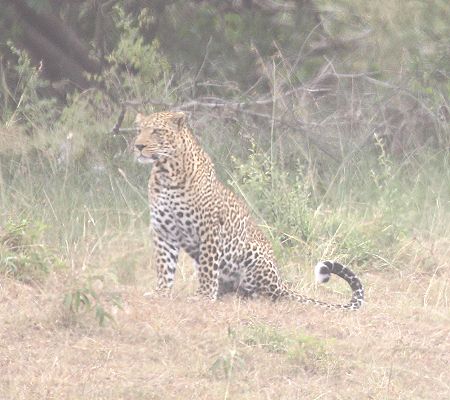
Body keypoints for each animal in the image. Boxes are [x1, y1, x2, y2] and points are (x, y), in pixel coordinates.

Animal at [132, 111, 364, 310]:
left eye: (157, 131)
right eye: (139, 130)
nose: (138, 145)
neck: (166, 173)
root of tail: (282, 282)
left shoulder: (209, 229)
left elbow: (208, 268)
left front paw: (203, 296)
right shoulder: (163, 231)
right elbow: (164, 265)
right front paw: (161, 292)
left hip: (252, 254)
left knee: (268, 294)